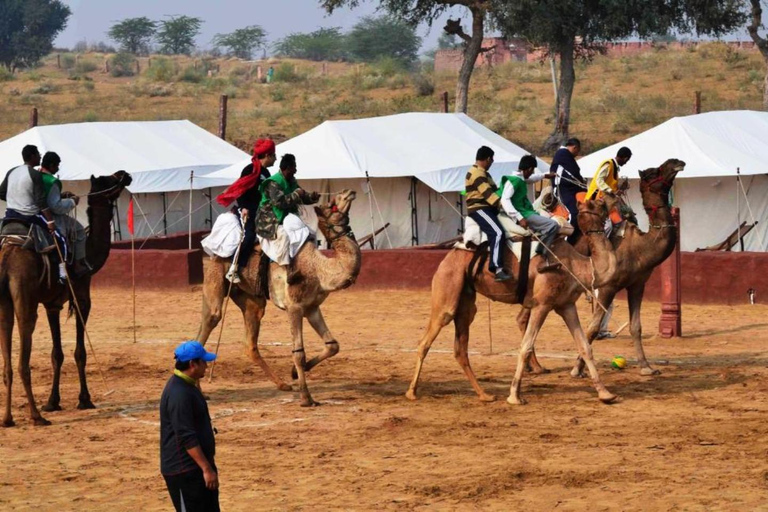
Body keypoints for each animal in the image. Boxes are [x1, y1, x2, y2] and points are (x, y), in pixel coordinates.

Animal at [0, 170, 132, 426]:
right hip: (25, 298)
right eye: (108, 180)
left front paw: (53, 402)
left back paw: (8, 418)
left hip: (5, 305)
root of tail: (7, 256)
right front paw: (84, 399)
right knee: (23, 359)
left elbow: (56, 354)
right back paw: (36, 416)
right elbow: (80, 352)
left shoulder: (52, 305)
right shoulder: (81, 297)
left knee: (8, 360)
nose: (125, 174)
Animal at [201, 190, 364, 406]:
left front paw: (295, 373)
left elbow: (333, 345)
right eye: (332, 204)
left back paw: (282, 384)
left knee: (250, 340)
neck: (319, 269)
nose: (349, 192)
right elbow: (299, 353)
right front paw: (306, 397)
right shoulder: (294, 307)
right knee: (211, 317)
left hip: (251, 297)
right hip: (215, 272)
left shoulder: (312, 308)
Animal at [408, 198, 616, 406]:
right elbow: (525, 347)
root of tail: (448, 256)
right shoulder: (542, 304)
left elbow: (585, 347)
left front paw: (605, 394)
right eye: (596, 204)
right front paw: (514, 396)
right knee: (427, 337)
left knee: (460, 349)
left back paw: (484, 395)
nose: (611, 204)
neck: (575, 265)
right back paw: (411, 392)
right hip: (447, 286)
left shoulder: (566, 305)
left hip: (466, 301)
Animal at [524, 158, 688, 378]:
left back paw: (534, 366)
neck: (639, 246)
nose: (677, 162)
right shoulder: (608, 286)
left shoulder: (637, 284)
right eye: (653, 173)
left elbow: (636, 326)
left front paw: (646, 367)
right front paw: (577, 369)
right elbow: (592, 328)